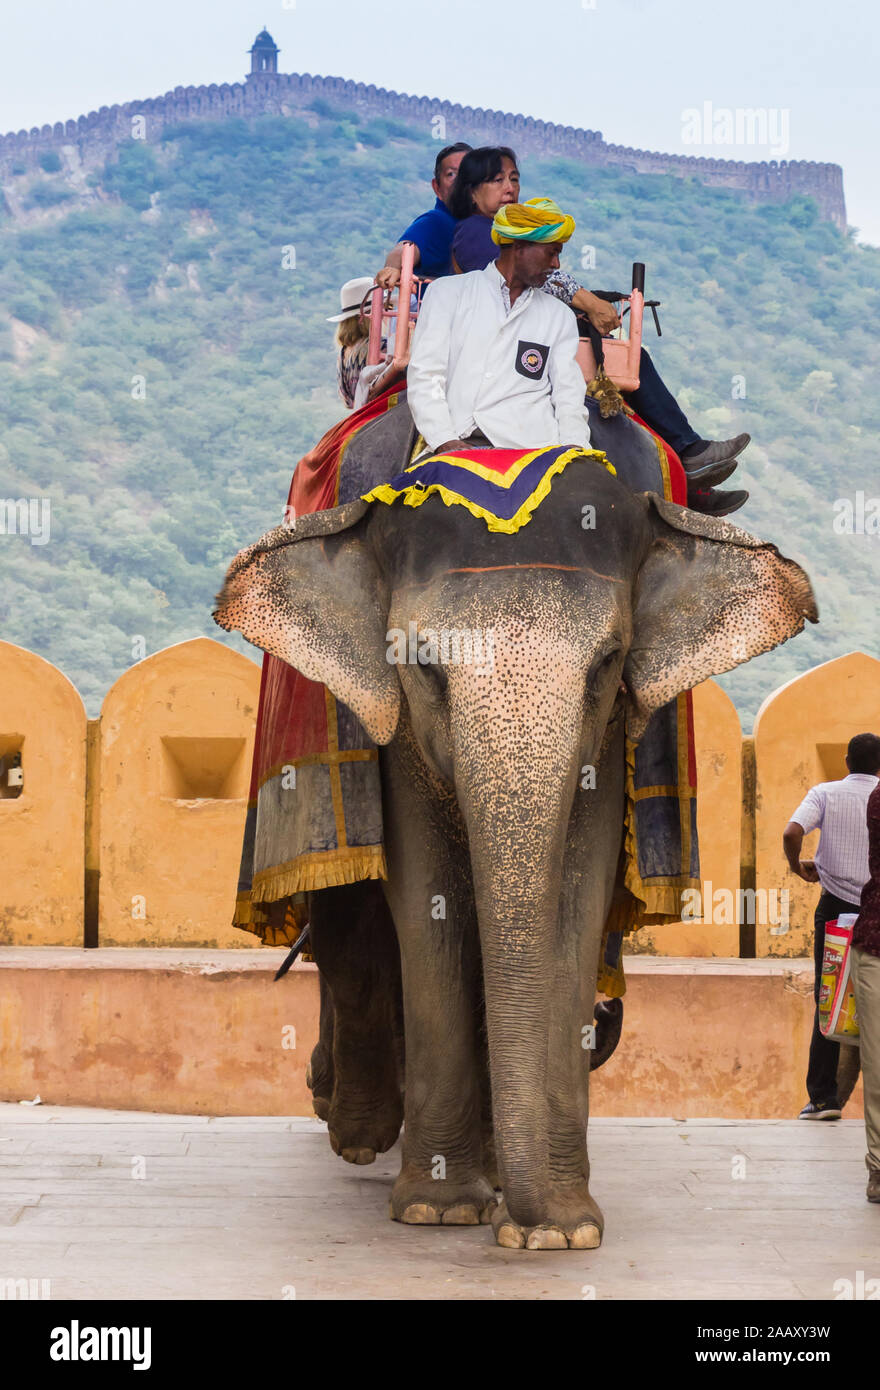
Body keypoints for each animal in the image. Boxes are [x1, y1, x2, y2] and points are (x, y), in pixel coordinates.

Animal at [214, 455, 817, 1251]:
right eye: (424, 666)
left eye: (608, 662)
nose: (529, 1221)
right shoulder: (400, 732)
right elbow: (428, 898)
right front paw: (440, 1209)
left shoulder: (608, 734)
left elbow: (576, 897)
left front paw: (559, 1231)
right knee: (349, 926)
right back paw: (358, 1134)